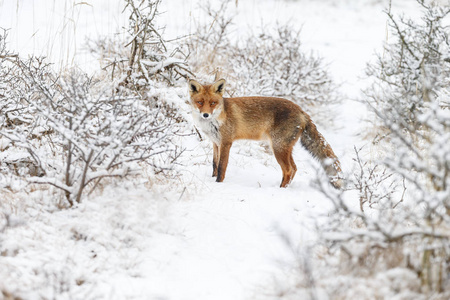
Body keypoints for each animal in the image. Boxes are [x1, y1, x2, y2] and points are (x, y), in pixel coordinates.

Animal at [188, 78, 342, 189]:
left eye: (213, 103)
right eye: (200, 102)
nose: (206, 115)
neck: (216, 120)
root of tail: (301, 110)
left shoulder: (226, 142)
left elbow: (221, 167)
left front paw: (218, 184)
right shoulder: (215, 142)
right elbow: (214, 164)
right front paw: (212, 179)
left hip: (278, 148)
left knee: (288, 170)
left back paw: (281, 189)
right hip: (285, 148)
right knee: (294, 168)